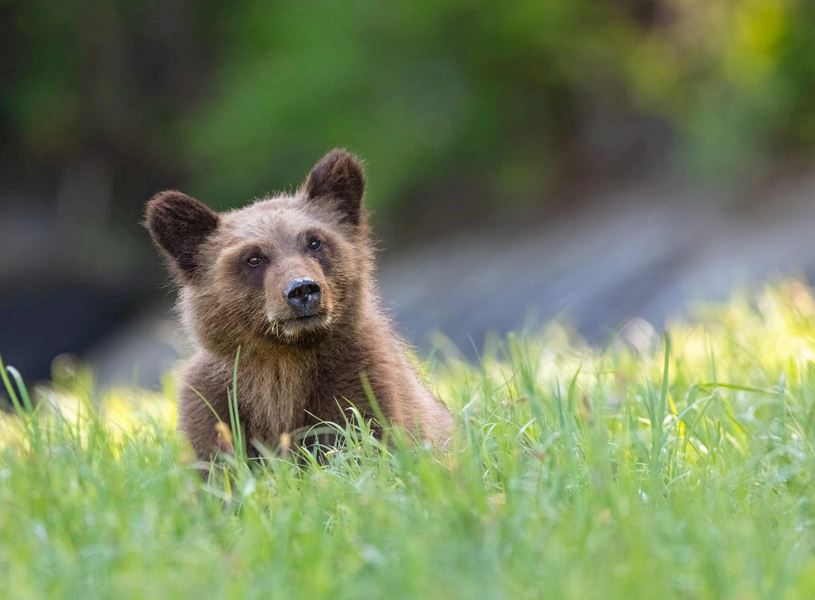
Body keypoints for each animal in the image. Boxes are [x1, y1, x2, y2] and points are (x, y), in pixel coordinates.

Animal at [145, 148, 453, 461]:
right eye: (253, 258)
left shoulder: (361, 382)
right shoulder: (217, 407)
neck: (285, 358)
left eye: (314, 242)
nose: (302, 289)